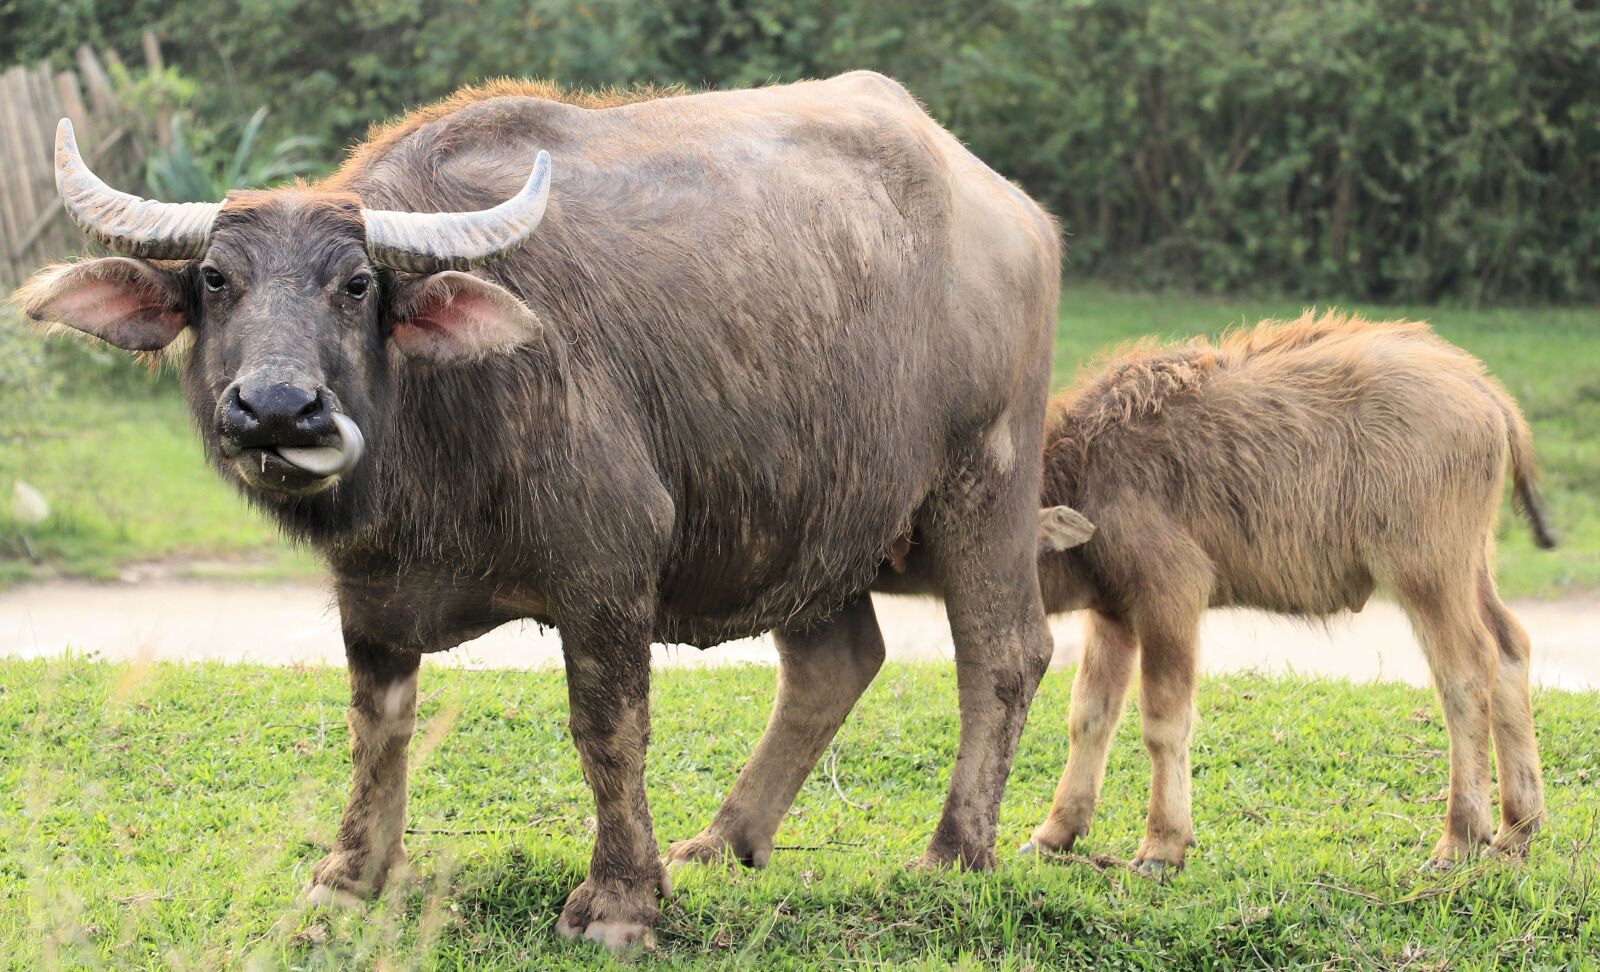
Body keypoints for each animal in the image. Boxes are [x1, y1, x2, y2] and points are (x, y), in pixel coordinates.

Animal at [17, 72, 1062, 947]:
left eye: (355, 285)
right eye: (215, 280)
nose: (279, 408)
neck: (435, 434)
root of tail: (1014, 212)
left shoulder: (609, 568)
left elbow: (608, 729)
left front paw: (620, 903)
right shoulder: (369, 590)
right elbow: (375, 727)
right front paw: (349, 878)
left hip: (985, 480)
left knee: (1005, 652)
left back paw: (953, 851)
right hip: (801, 517)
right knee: (835, 665)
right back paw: (722, 842)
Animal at [881, 313, 1551, 875]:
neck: (1089, 470)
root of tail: (1484, 391)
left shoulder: (1171, 595)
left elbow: (1163, 719)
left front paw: (1161, 847)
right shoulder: (1113, 614)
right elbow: (1090, 716)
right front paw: (1055, 833)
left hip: (1427, 573)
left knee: (1466, 672)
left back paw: (1461, 836)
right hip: (1471, 568)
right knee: (1511, 646)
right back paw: (1519, 827)